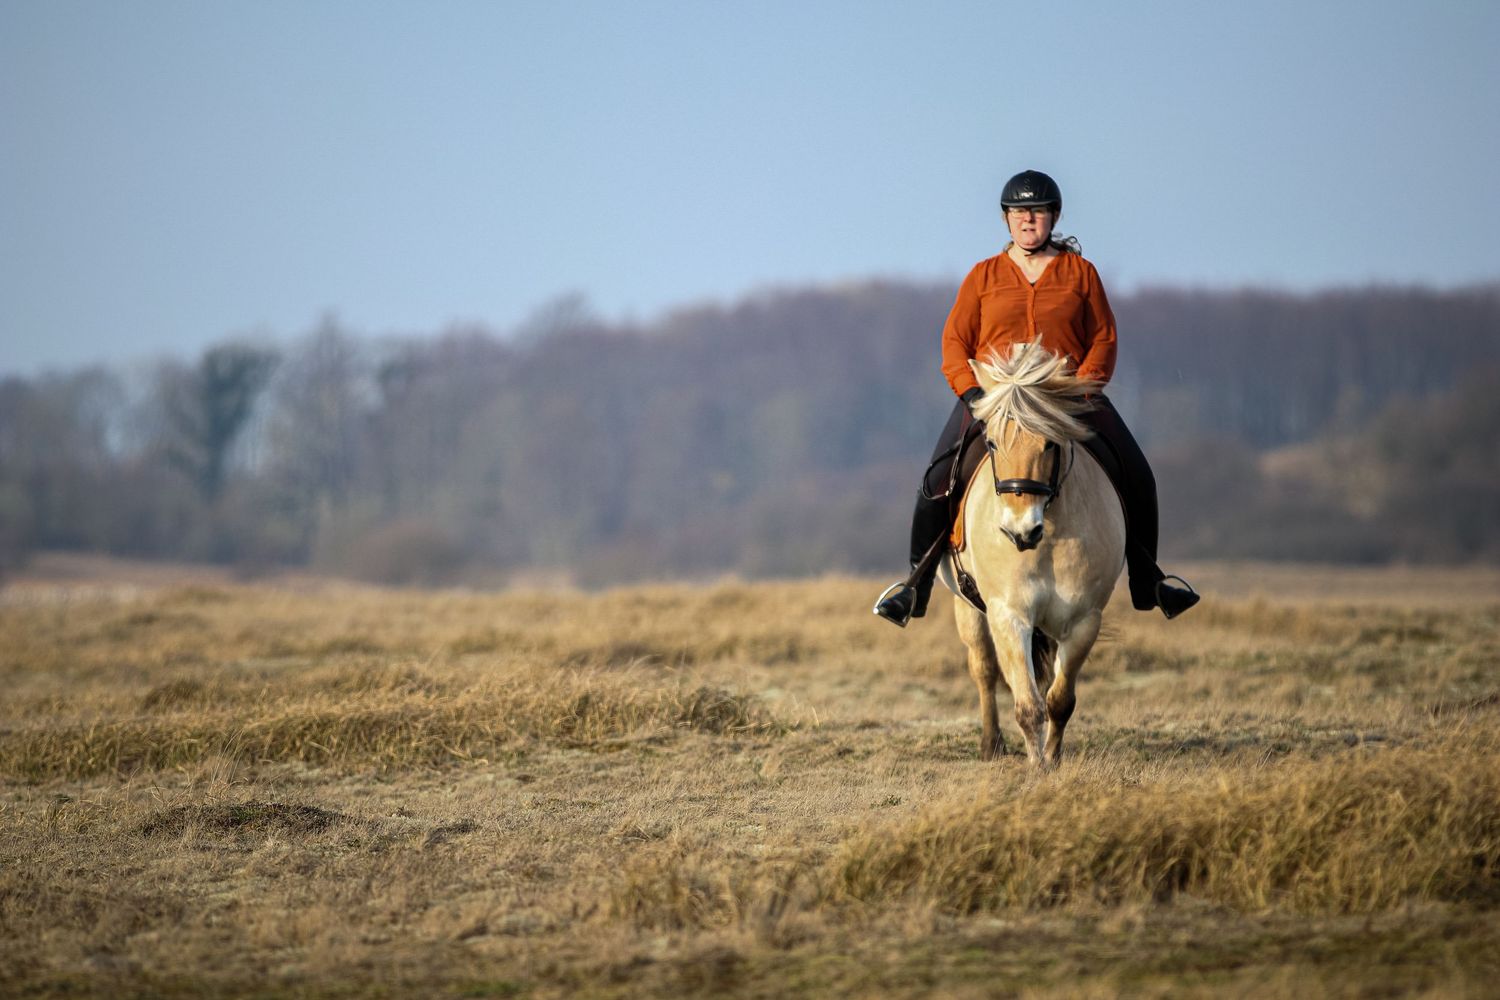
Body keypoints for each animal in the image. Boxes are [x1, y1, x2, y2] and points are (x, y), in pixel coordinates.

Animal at [939, 340, 1126, 767]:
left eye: (1050, 443)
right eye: (992, 443)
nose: (1019, 531)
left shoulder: (1083, 620)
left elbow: (1059, 699)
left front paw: (1052, 761)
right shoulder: (1009, 615)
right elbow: (1027, 704)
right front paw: (1036, 766)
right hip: (967, 606)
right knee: (984, 669)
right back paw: (990, 744)